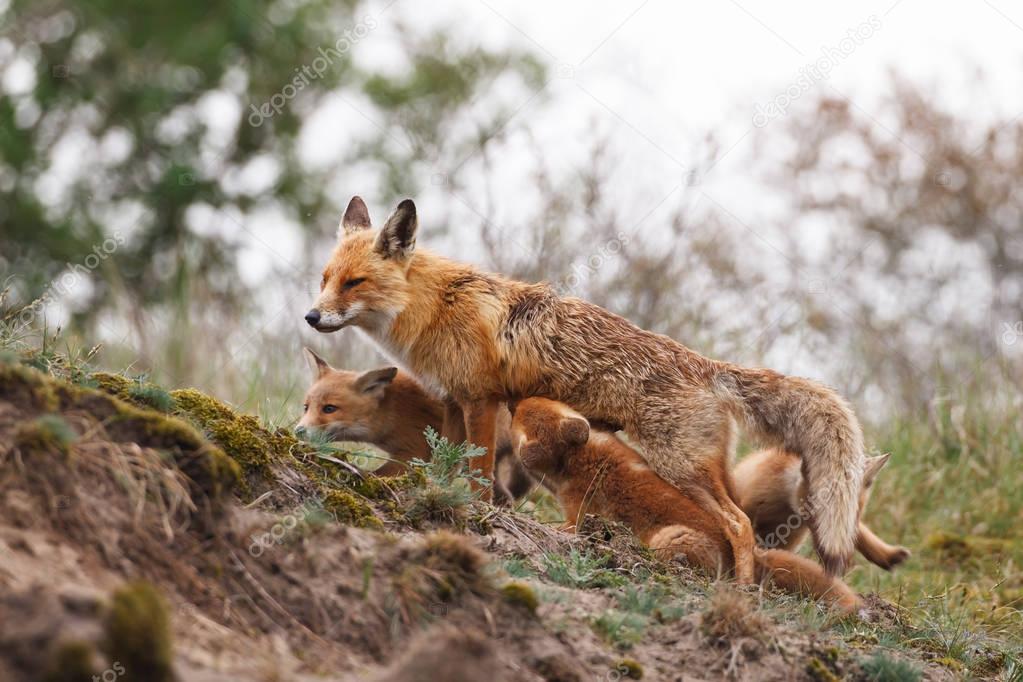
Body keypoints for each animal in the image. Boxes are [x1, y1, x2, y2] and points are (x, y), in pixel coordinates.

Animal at [306, 196, 867, 576]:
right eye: (325, 279)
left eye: (354, 284)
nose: (311, 317)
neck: (435, 308)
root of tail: (704, 363)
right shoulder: (451, 401)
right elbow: (444, 461)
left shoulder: (482, 400)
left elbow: (477, 473)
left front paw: (477, 517)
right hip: (707, 470)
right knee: (743, 518)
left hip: (680, 465)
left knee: (741, 525)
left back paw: (741, 593)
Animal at [511, 394, 863, 613]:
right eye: (538, 400)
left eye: (520, 416)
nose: (513, 402)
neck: (583, 457)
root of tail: (757, 558)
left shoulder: (578, 507)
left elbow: (568, 526)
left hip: (669, 537)